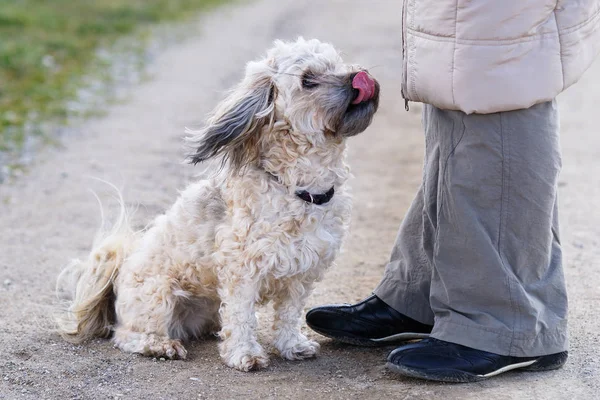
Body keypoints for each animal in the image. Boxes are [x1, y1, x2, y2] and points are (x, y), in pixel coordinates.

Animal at [58, 37, 382, 372]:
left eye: (336, 64)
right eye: (308, 80)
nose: (359, 77)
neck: (299, 187)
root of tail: (117, 276)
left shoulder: (302, 272)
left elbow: (288, 314)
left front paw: (292, 345)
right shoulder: (242, 271)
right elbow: (241, 316)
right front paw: (245, 354)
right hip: (158, 294)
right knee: (127, 335)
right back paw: (160, 345)